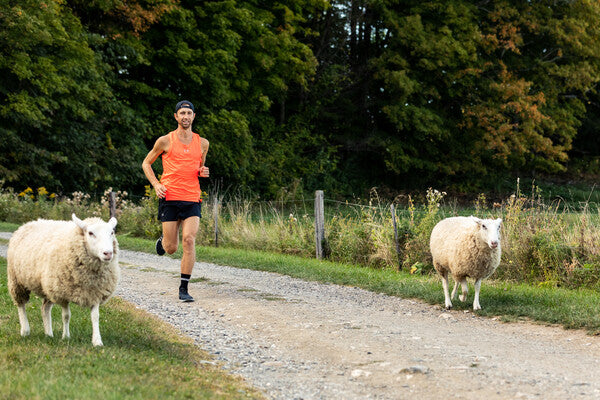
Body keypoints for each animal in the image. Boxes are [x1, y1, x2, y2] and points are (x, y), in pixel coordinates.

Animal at [6, 212, 119, 346]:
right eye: (91, 233)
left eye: (111, 232)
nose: (108, 253)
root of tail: (29, 223)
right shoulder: (63, 293)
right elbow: (66, 316)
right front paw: (66, 337)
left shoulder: (95, 292)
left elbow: (95, 317)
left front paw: (97, 341)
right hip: (16, 280)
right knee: (21, 304)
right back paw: (25, 330)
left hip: (48, 287)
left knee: (45, 308)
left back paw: (49, 334)